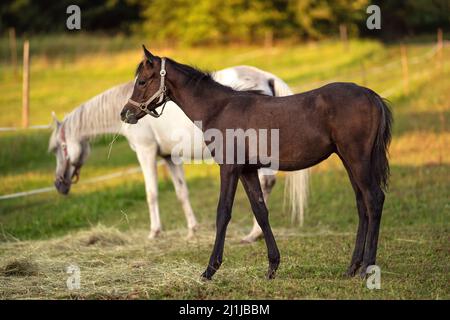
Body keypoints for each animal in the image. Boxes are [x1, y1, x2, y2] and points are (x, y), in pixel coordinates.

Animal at [49, 65, 310, 242]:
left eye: (59, 148)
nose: (59, 184)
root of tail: (267, 77)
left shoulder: (146, 152)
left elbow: (151, 193)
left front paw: (154, 232)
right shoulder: (169, 158)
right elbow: (181, 192)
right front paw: (192, 230)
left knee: (265, 184)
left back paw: (254, 234)